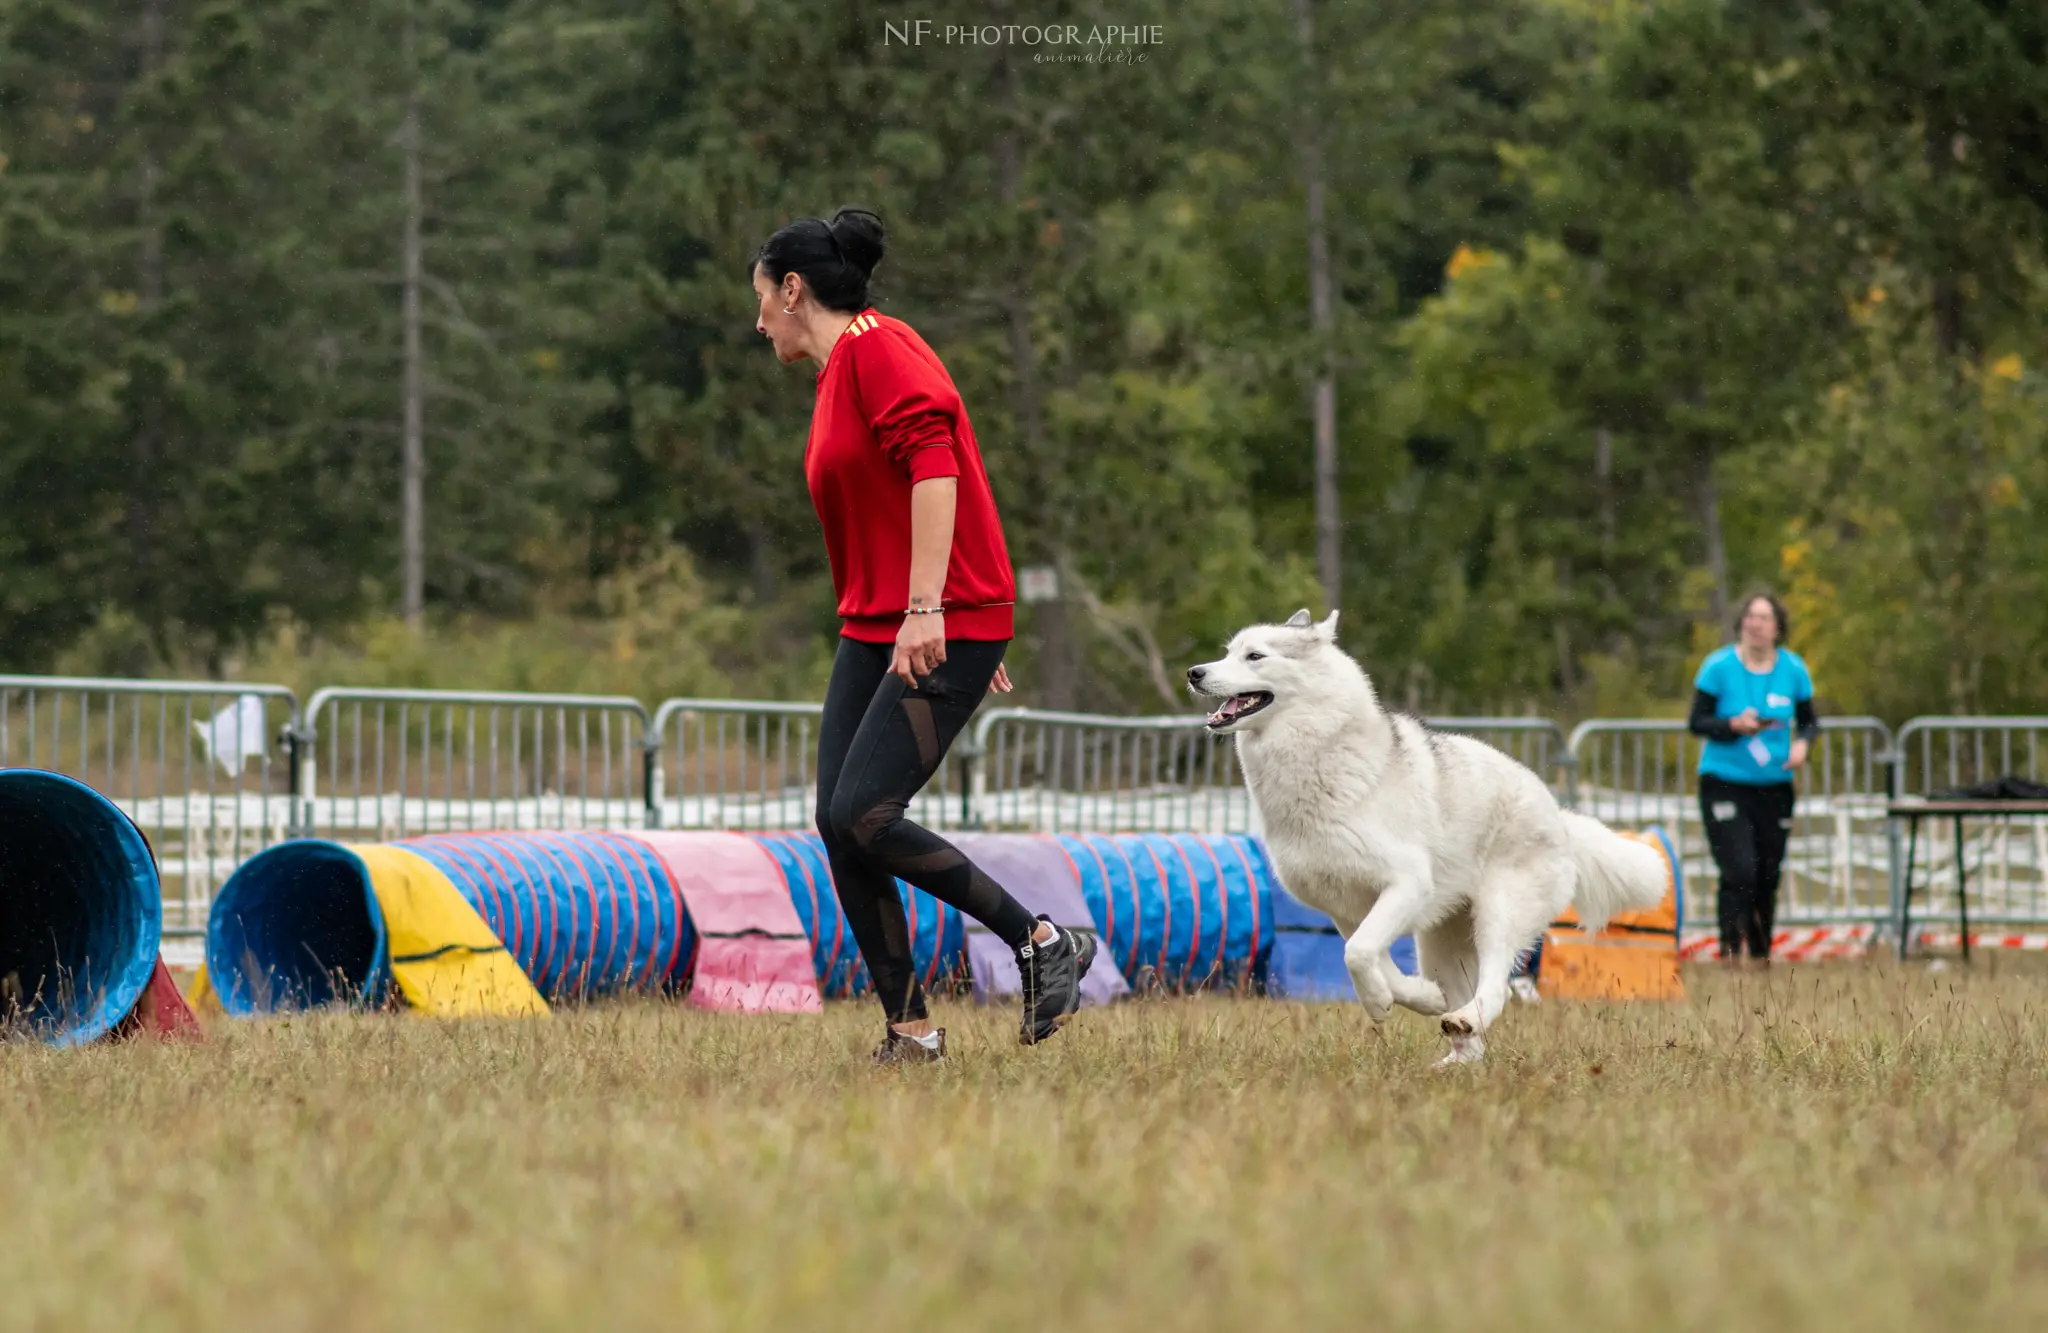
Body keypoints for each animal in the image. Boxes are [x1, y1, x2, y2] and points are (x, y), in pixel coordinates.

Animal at [1187, 614, 1662, 1064]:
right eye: (1227, 652)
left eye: (1254, 656)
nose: (1194, 672)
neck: (1318, 757)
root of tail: (1559, 815)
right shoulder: (1346, 907)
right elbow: (1369, 956)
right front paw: (1418, 998)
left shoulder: (1406, 883)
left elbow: (1358, 953)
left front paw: (1381, 1002)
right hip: (1439, 944)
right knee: (1468, 1022)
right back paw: (1452, 1055)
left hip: (1499, 915)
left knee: (1499, 987)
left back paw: (1466, 1019)